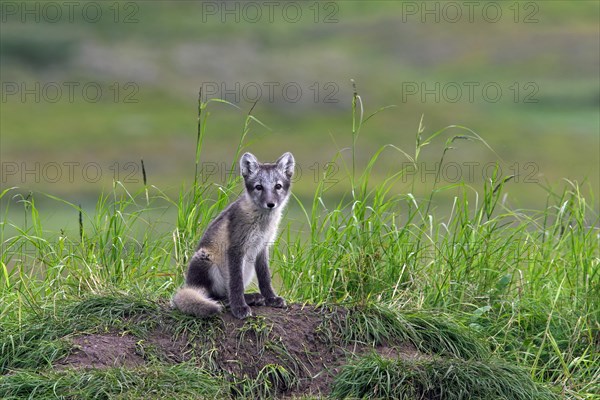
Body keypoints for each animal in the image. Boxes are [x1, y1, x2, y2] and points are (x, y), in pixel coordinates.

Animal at [171, 152, 296, 318]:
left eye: (278, 186)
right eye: (259, 187)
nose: (271, 204)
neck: (262, 223)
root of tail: (190, 285)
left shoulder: (262, 247)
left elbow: (265, 278)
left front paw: (271, 298)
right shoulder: (236, 247)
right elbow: (236, 283)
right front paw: (239, 307)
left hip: (247, 267)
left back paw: (252, 297)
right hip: (206, 259)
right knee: (216, 296)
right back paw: (232, 302)